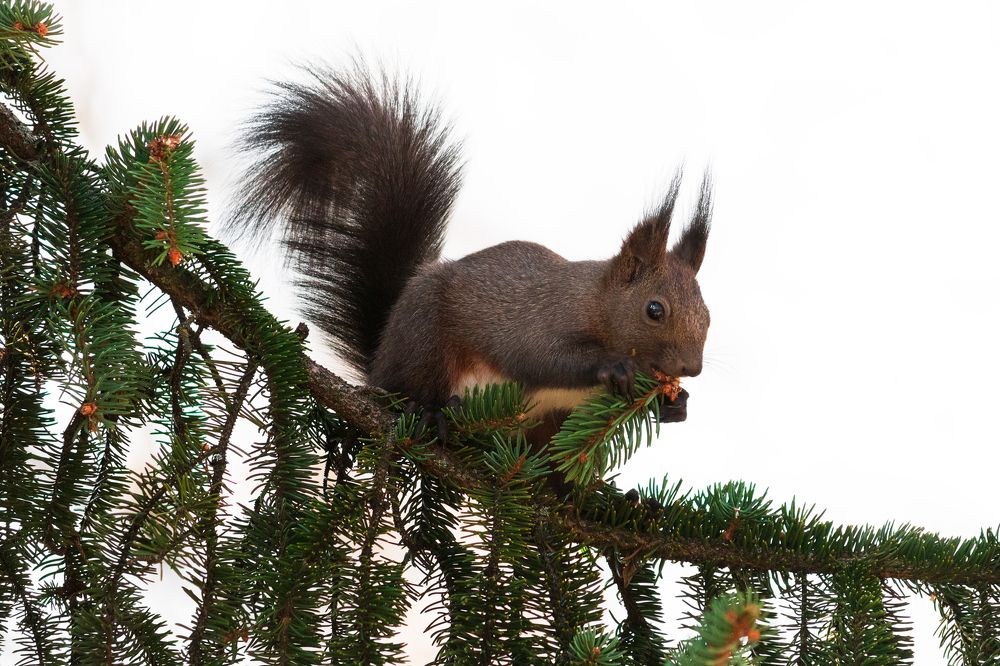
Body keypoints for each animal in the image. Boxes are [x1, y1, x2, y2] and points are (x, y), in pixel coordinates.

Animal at [229, 66, 712, 444]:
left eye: (708, 317)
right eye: (654, 309)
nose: (691, 368)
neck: (595, 303)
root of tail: (379, 364)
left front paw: (678, 404)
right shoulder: (540, 320)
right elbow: (543, 357)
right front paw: (613, 366)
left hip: (543, 425)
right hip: (425, 342)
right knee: (413, 389)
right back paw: (429, 412)